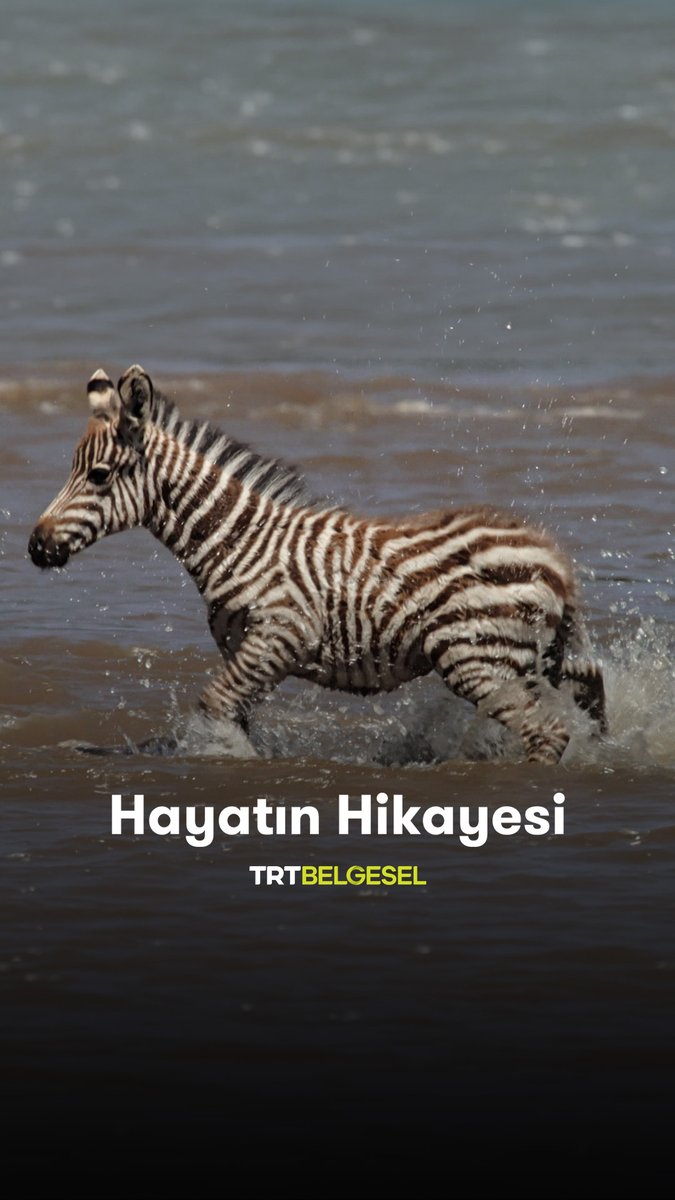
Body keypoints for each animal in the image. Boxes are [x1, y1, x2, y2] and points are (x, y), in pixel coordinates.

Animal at [28, 364, 606, 763]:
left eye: (99, 475)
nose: (36, 546)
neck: (239, 541)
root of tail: (554, 559)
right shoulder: (246, 649)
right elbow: (232, 711)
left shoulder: (279, 635)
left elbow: (213, 705)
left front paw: (228, 758)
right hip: (533, 656)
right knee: (589, 688)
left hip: (476, 659)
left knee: (548, 731)